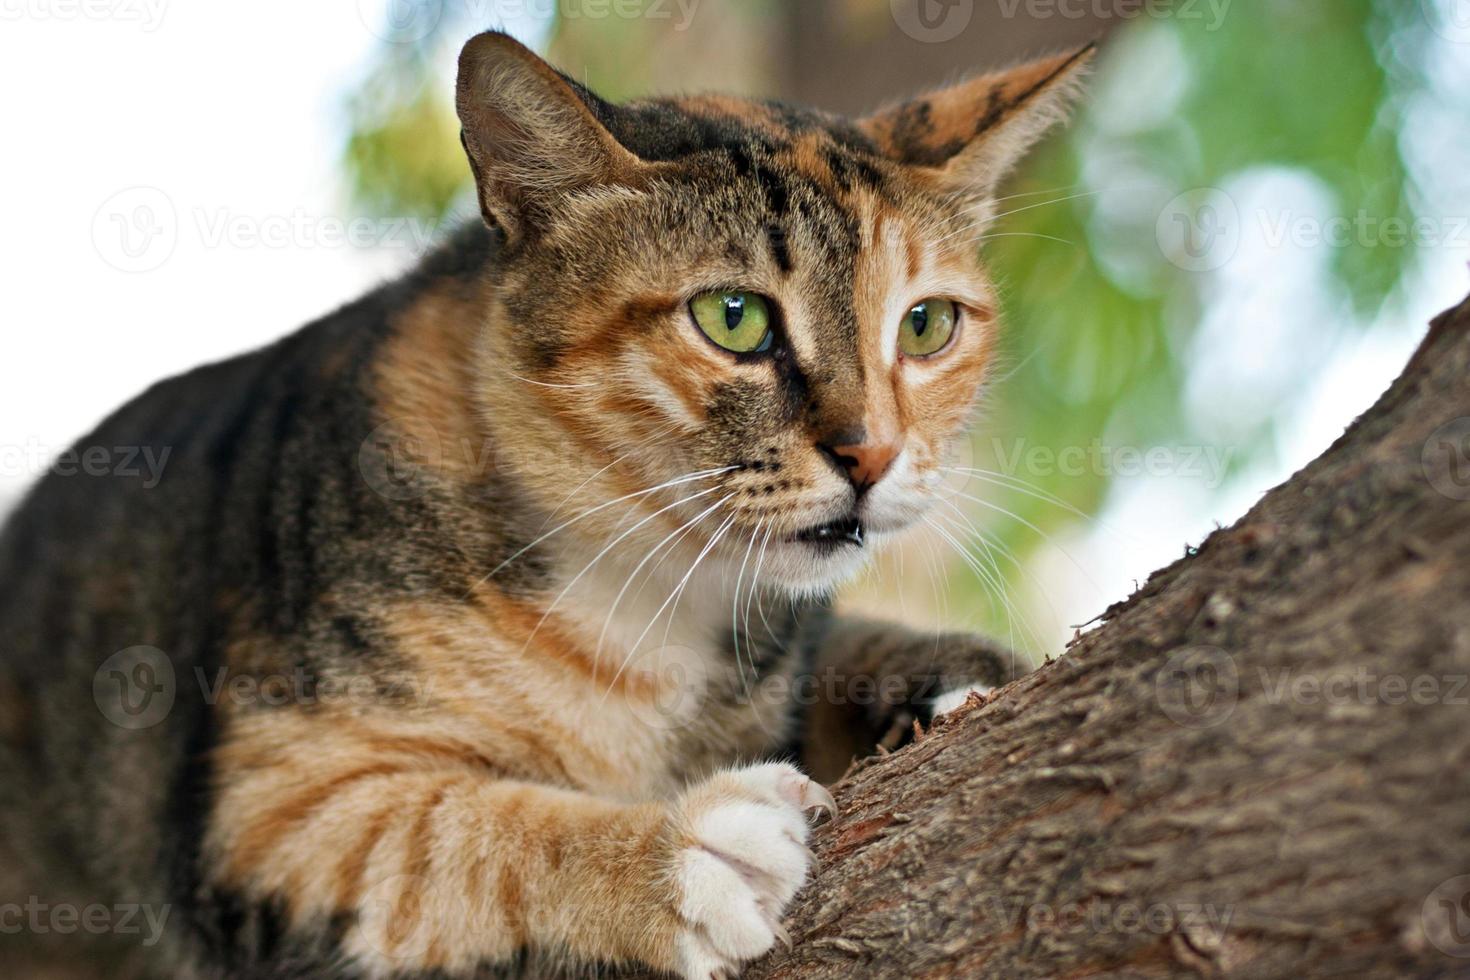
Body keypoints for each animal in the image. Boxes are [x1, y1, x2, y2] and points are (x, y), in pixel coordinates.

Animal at [0, 30, 1093, 980]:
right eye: (732, 316)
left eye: (927, 324)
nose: (873, 454)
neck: (650, 603)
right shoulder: (265, 812)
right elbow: (452, 838)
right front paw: (680, 853)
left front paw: (946, 676)